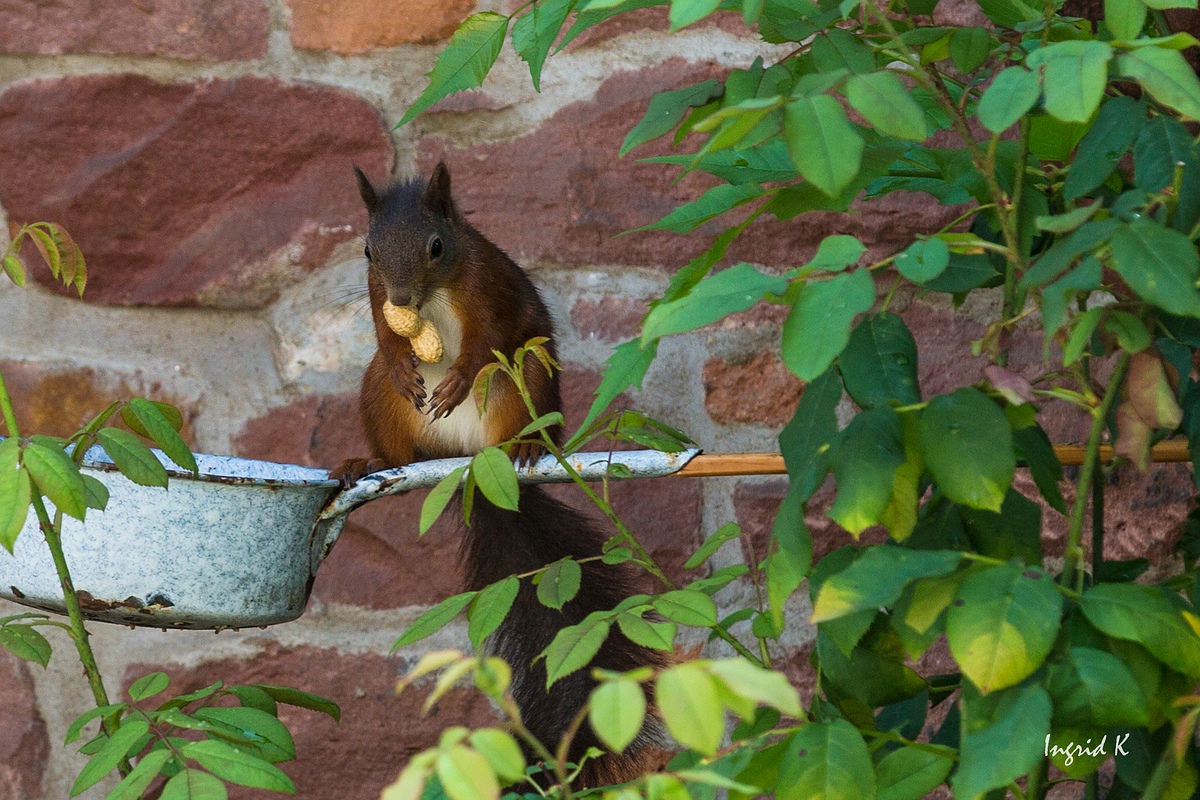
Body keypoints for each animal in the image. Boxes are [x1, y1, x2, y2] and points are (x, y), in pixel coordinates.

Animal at [333, 163, 672, 786]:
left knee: (514, 383)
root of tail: (471, 463)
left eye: (436, 246)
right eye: (367, 250)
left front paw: (459, 376)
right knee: (394, 432)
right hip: (379, 400)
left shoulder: (490, 289)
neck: (436, 296)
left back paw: (523, 448)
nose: (400, 296)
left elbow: (488, 335)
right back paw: (372, 462)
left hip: (527, 376)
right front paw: (400, 355)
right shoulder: (375, 298)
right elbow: (385, 334)